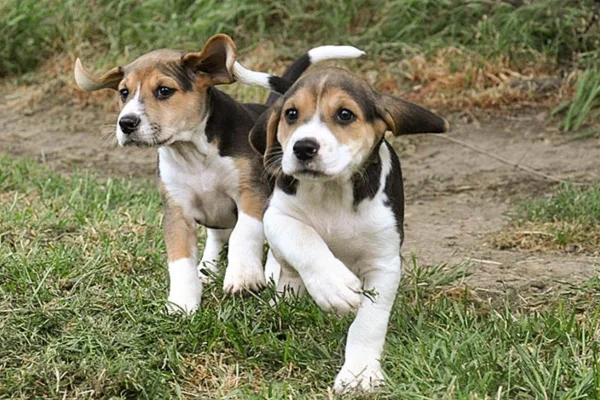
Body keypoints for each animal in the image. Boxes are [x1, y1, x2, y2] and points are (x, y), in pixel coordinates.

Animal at [75, 34, 366, 314]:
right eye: (123, 92)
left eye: (164, 91)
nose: (126, 123)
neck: (193, 153)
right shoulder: (177, 211)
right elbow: (179, 259)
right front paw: (182, 301)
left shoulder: (251, 193)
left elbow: (244, 232)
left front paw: (243, 276)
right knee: (217, 235)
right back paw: (207, 267)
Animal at [246, 67, 448, 392]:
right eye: (291, 114)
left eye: (344, 114)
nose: (303, 147)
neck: (332, 192)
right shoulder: (277, 216)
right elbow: (305, 239)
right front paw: (333, 286)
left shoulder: (384, 263)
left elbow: (369, 322)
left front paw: (359, 373)